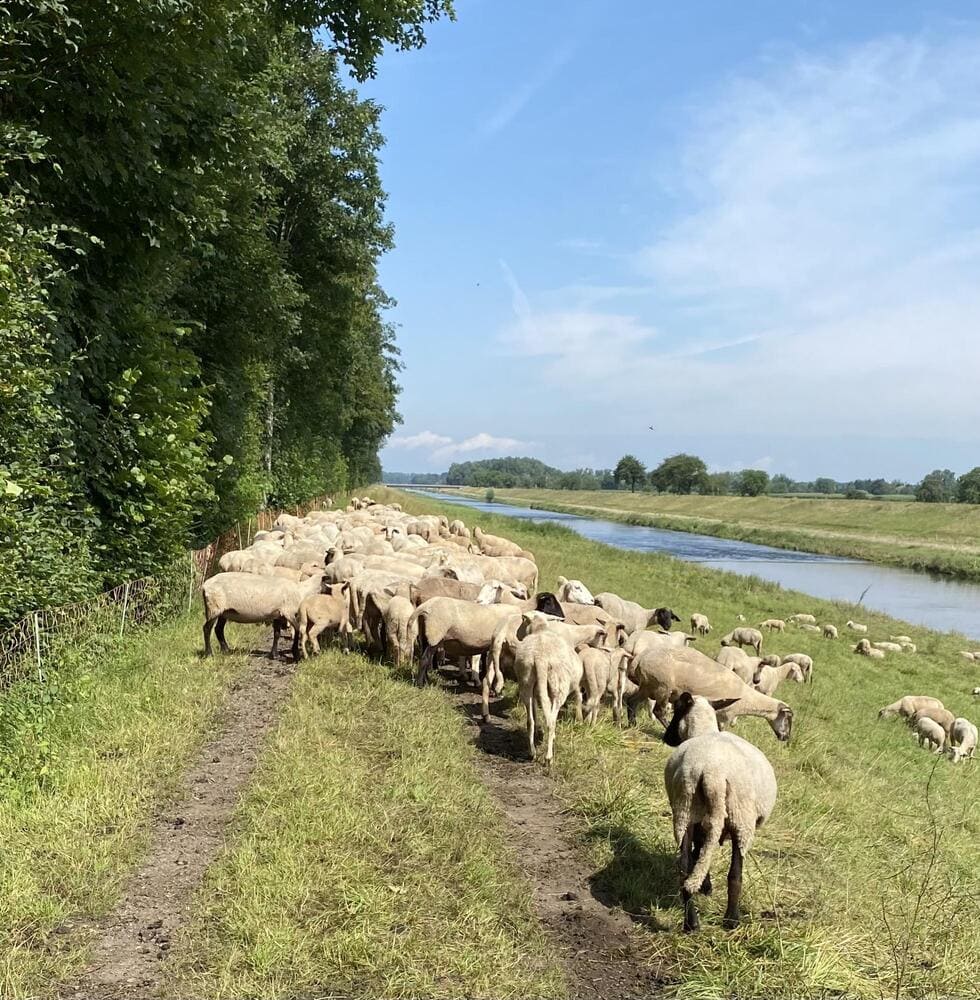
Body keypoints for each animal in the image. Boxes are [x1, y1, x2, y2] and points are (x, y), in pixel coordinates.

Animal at [624, 644, 792, 740]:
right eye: (788, 719)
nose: (786, 738)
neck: (748, 699)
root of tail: (640, 659)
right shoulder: (724, 715)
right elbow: (720, 730)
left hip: (648, 685)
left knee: (632, 701)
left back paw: (632, 724)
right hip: (662, 686)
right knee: (659, 711)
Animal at [664, 692, 776, 932]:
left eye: (676, 709)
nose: (667, 737)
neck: (705, 730)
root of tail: (712, 773)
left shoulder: (700, 820)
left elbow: (698, 852)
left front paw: (704, 885)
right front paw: (706, 886)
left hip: (685, 809)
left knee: (685, 866)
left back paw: (691, 921)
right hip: (741, 819)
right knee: (735, 873)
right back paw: (732, 919)